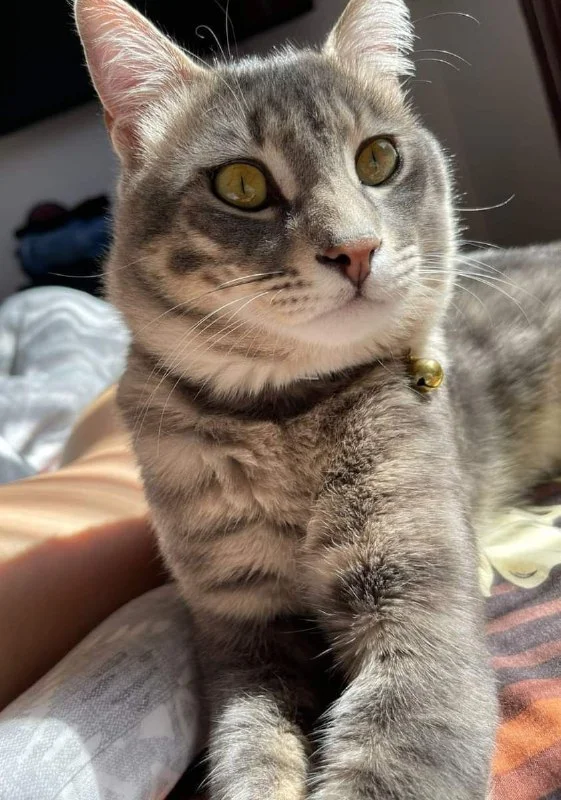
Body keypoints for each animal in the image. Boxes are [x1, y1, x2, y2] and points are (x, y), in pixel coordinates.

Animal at [75, 0, 561, 797]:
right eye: (241, 184)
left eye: (378, 159)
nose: (356, 249)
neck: (281, 419)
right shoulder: (239, 631)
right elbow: (249, 749)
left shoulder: (421, 614)